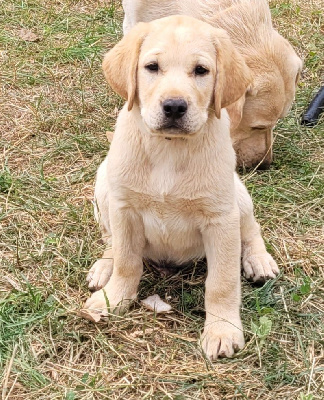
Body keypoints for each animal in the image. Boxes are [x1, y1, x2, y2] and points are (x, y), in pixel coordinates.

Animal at [85, 15, 280, 360]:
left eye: (201, 70)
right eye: (152, 67)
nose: (174, 107)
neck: (169, 148)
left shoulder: (220, 219)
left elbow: (222, 282)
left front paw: (222, 330)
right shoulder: (124, 209)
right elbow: (126, 261)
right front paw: (114, 297)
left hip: (237, 195)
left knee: (251, 229)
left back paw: (258, 259)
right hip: (104, 185)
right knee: (112, 242)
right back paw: (104, 267)